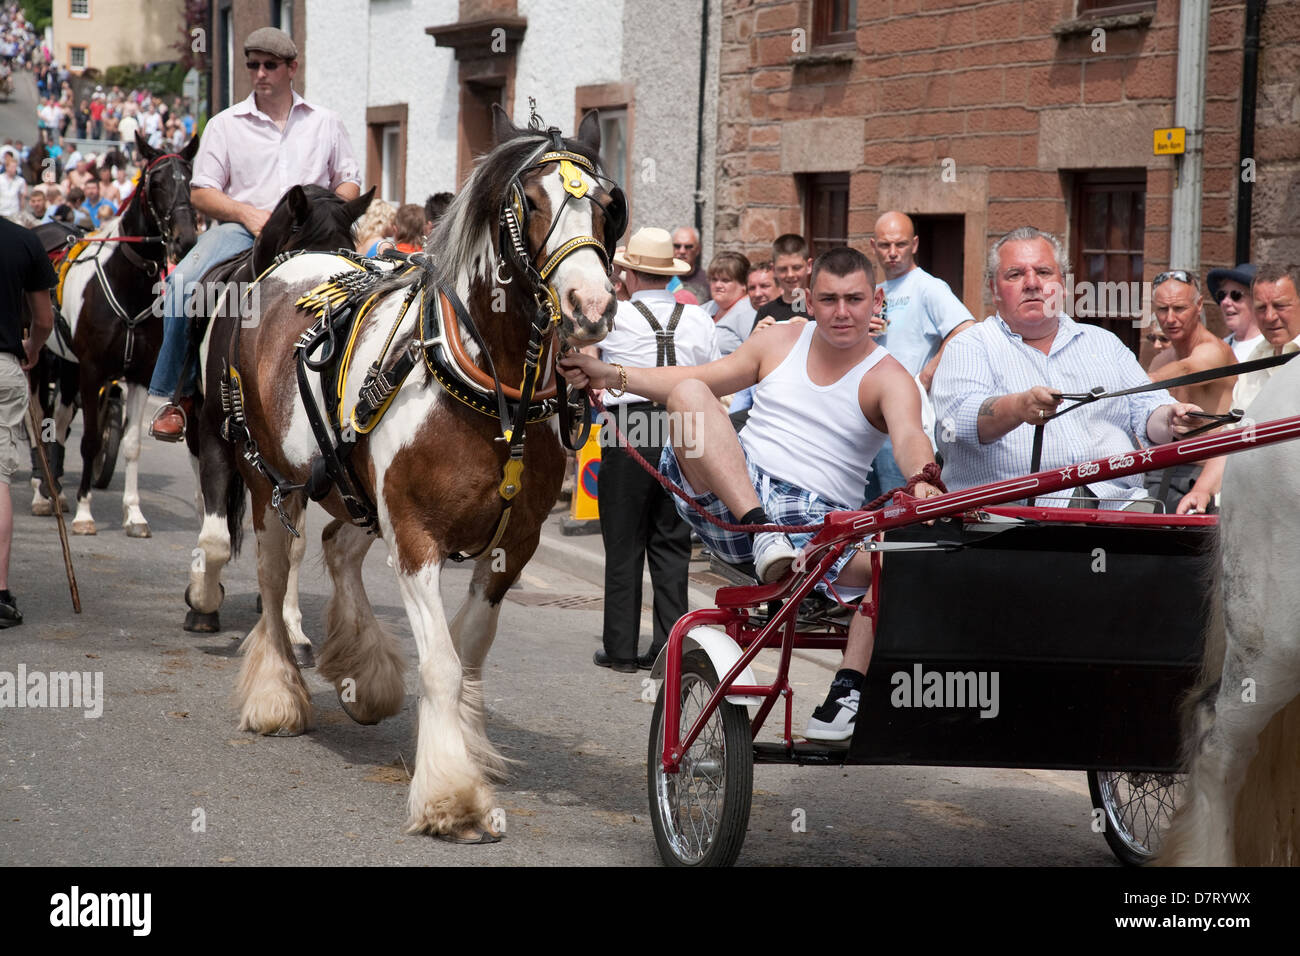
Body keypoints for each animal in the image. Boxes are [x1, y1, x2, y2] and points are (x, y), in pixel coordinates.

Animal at [188, 110, 624, 837]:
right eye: (531, 203)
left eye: (607, 203)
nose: (591, 305)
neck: (485, 385)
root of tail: (284, 265)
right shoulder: (417, 536)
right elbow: (443, 663)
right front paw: (451, 795)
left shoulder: (513, 543)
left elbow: (469, 652)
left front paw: (464, 747)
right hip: (270, 479)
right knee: (275, 575)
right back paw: (278, 691)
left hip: (356, 491)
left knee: (338, 548)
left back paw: (362, 672)